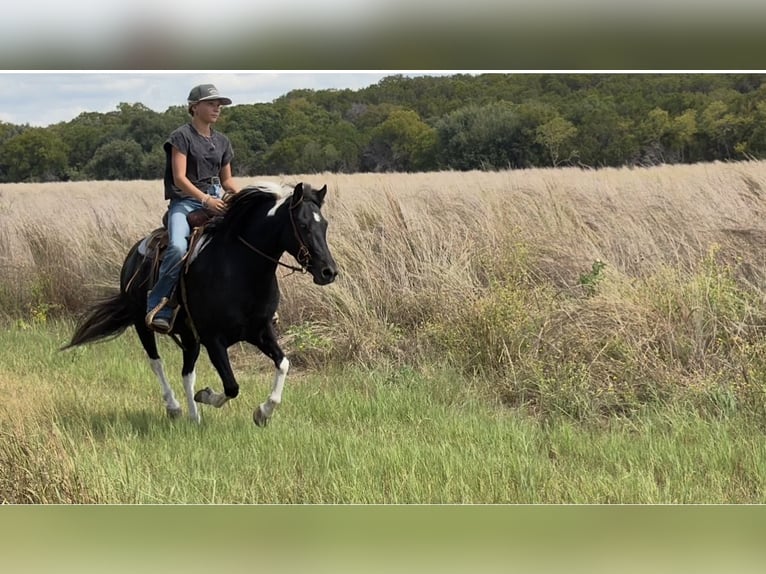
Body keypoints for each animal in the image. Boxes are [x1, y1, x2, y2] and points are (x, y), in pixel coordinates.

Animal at [64, 181, 338, 426]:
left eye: (324, 224)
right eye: (302, 225)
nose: (329, 272)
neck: (240, 269)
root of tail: (133, 255)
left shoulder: (260, 331)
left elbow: (283, 364)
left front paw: (262, 412)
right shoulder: (213, 339)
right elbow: (231, 386)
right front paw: (206, 395)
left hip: (188, 336)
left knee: (187, 373)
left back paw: (194, 417)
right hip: (144, 325)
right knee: (157, 363)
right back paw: (174, 407)